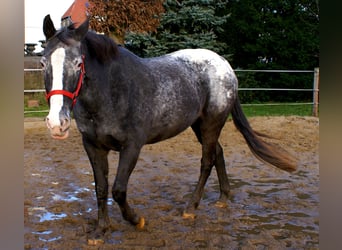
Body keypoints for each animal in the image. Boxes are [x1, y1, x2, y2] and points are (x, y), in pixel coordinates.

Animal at [40, 15, 296, 238]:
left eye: (78, 63)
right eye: (43, 63)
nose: (57, 123)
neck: (112, 91)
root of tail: (226, 66)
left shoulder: (132, 147)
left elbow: (118, 190)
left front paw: (138, 221)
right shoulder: (93, 146)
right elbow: (101, 188)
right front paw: (100, 231)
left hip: (212, 123)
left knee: (207, 161)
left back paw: (191, 208)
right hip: (199, 126)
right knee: (218, 153)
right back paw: (223, 198)